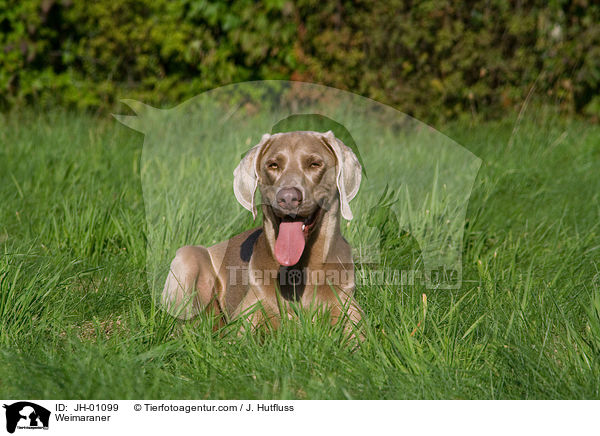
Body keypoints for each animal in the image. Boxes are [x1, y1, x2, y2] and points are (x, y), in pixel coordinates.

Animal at [162, 131, 364, 332]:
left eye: (315, 164)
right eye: (273, 165)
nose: (288, 198)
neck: (299, 269)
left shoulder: (348, 309)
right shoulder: (247, 316)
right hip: (188, 258)